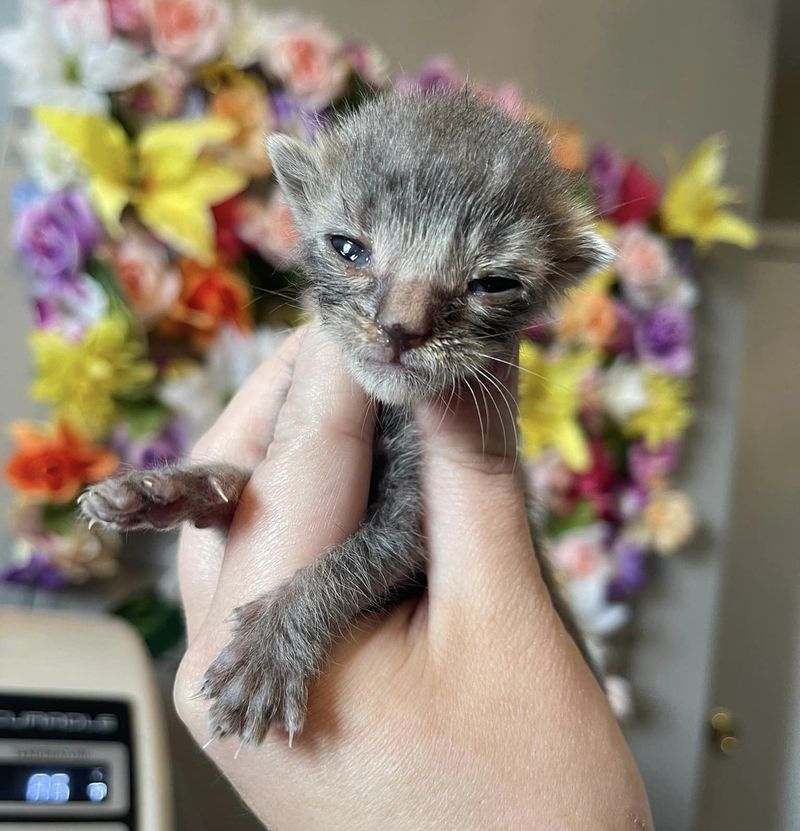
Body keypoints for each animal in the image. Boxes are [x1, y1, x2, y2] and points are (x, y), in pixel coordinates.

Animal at [81, 89, 608, 748]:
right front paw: (169, 488)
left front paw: (272, 647)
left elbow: (363, 558)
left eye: (493, 283)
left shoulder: (412, 522)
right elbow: (239, 492)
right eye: (348, 248)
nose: (400, 328)